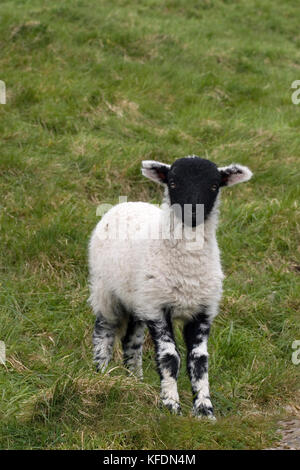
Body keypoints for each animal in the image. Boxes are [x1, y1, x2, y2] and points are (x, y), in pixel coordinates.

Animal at [88, 156, 252, 420]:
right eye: (173, 183)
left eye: (214, 185)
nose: (193, 211)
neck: (187, 267)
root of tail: (126, 203)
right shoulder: (158, 308)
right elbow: (169, 357)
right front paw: (171, 405)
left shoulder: (202, 311)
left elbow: (199, 361)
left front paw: (205, 410)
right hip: (106, 291)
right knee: (104, 331)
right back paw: (102, 373)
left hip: (139, 299)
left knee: (131, 342)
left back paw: (135, 382)